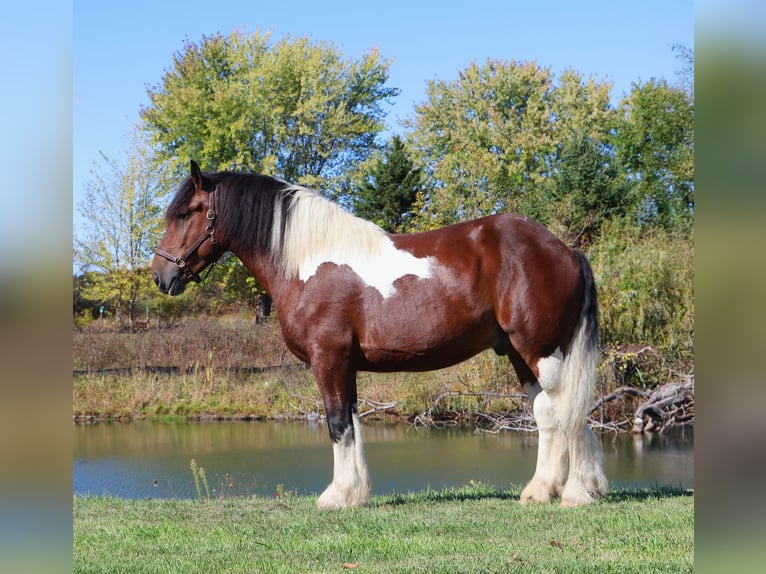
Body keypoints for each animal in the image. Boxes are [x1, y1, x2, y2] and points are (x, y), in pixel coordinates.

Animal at [152, 161, 608, 508]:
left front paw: (336, 496)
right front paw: (355, 494)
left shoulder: (328, 359)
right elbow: (352, 423)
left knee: (569, 410)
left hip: (542, 351)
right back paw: (542, 491)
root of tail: (565, 250)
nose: (161, 276)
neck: (308, 261)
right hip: (520, 353)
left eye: (186, 213)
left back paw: (577, 493)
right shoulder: (345, 365)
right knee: (549, 413)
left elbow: (337, 423)